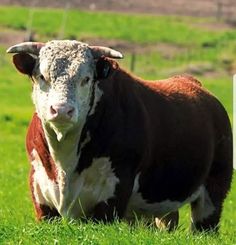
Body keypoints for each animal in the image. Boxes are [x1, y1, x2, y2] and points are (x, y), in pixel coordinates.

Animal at [6, 40, 232, 232]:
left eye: (86, 79)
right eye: (42, 76)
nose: (61, 110)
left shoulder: (113, 195)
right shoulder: (41, 195)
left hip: (214, 192)